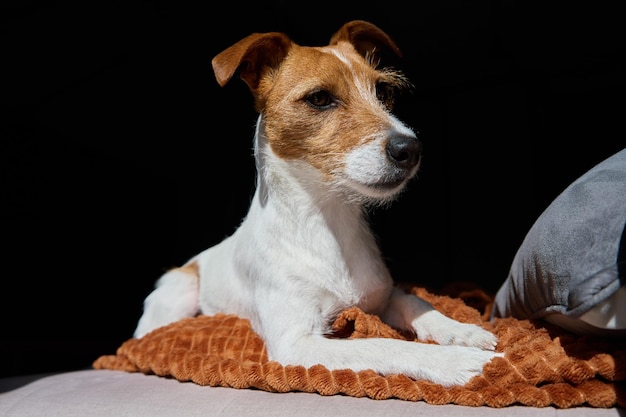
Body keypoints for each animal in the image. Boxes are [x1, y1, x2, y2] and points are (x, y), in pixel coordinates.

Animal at [134, 20, 500, 386]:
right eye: (320, 98)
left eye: (383, 92)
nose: (410, 149)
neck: (328, 223)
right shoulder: (297, 343)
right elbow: (382, 344)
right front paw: (455, 360)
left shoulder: (383, 298)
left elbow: (418, 303)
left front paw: (463, 332)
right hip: (179, 292)